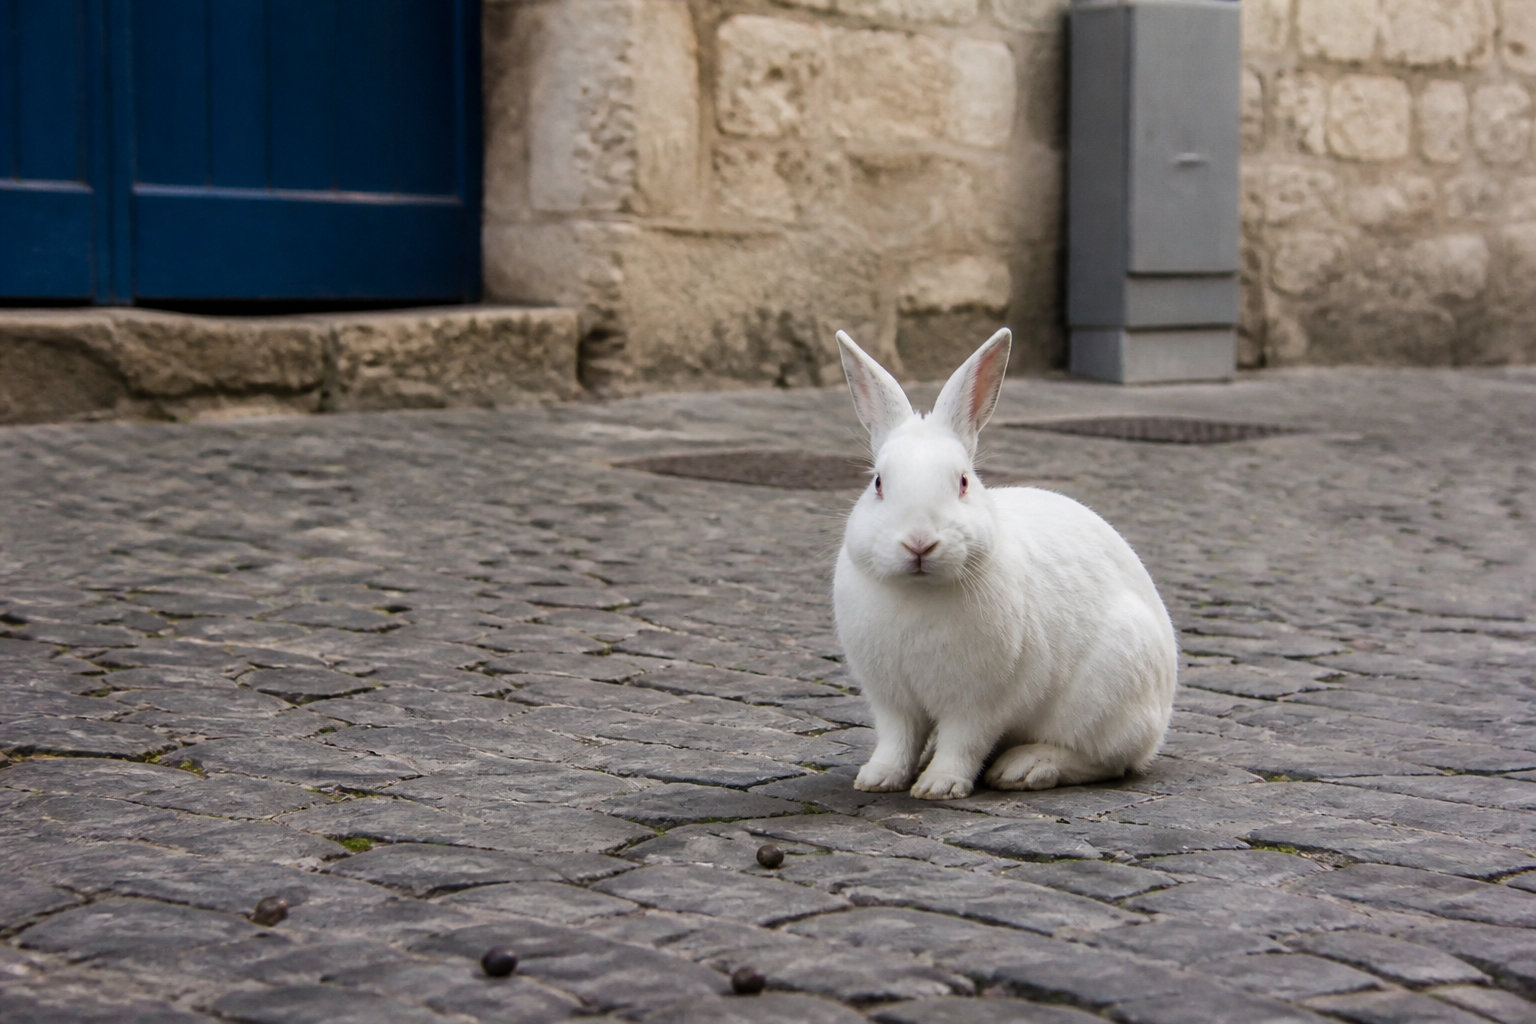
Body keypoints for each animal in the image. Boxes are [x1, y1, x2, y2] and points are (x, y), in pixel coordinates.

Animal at [833, 327, 1178, 800]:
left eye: (963, 482)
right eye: (878, 483)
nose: (919, 543)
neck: (919, 590)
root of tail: (1161, 714)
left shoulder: (980, 702)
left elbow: (964, 743)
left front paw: (940, 785)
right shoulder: (893, 700)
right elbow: (897, 740)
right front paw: (878, 778)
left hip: (1110, 691)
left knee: (1107, 759)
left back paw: (1026, 767)